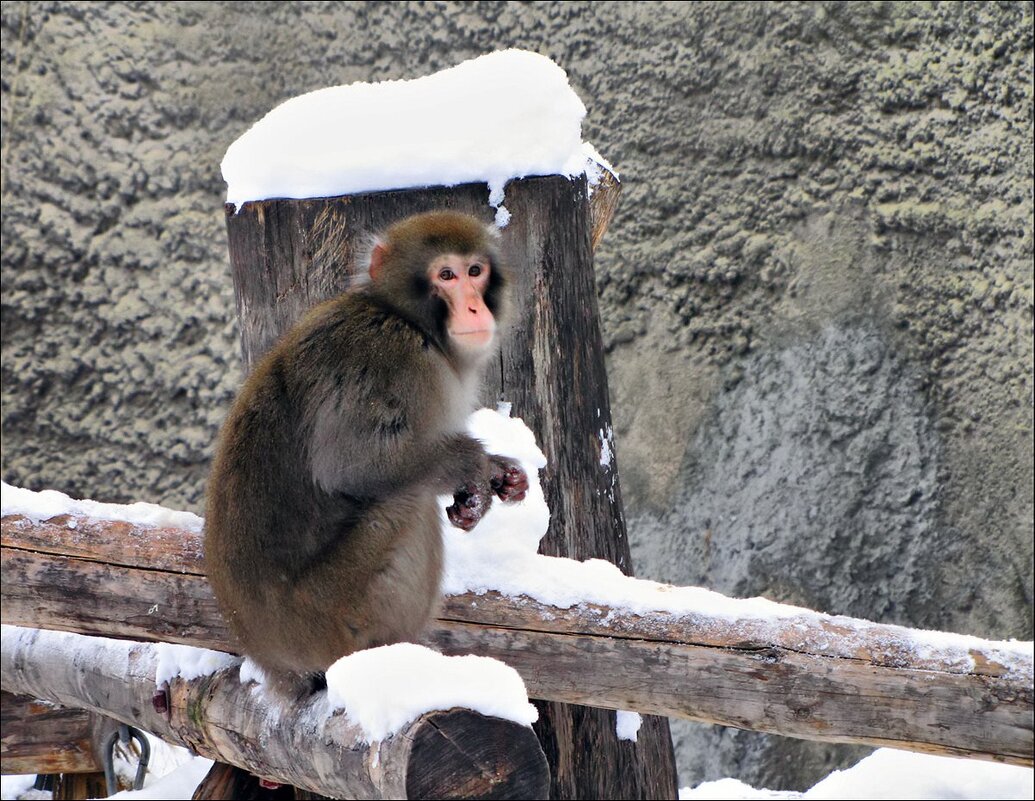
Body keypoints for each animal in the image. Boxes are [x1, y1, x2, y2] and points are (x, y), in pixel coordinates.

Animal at [203, 210, 525, 699]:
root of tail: (270, 660)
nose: (475, 307)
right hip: (334, 614)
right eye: (446, 276)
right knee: (408, 501)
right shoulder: (390, 357)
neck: (404, 319)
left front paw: (504, 476)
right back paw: (394, 653)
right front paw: (475, 464)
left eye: (475, 271)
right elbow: (353, 466)